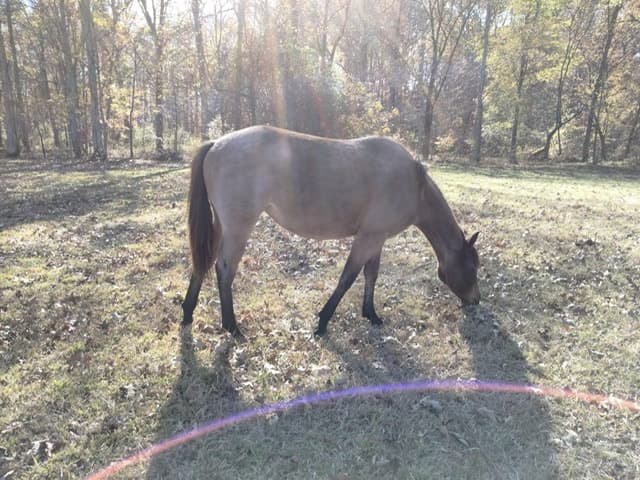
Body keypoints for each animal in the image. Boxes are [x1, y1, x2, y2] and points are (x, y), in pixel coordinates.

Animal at [181, 125, 480, 337]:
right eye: (473, 267)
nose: (475, 300)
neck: (414, 185)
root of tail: (216, 144)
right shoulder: (368, 238)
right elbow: (348, 278)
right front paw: (323, 321)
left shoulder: (377, 237)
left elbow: (371, 275)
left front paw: (371, 314)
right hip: (237, 229)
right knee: (224, 270)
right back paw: (231, 326)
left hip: (221, 226)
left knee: (203, 261)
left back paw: (188, 313)